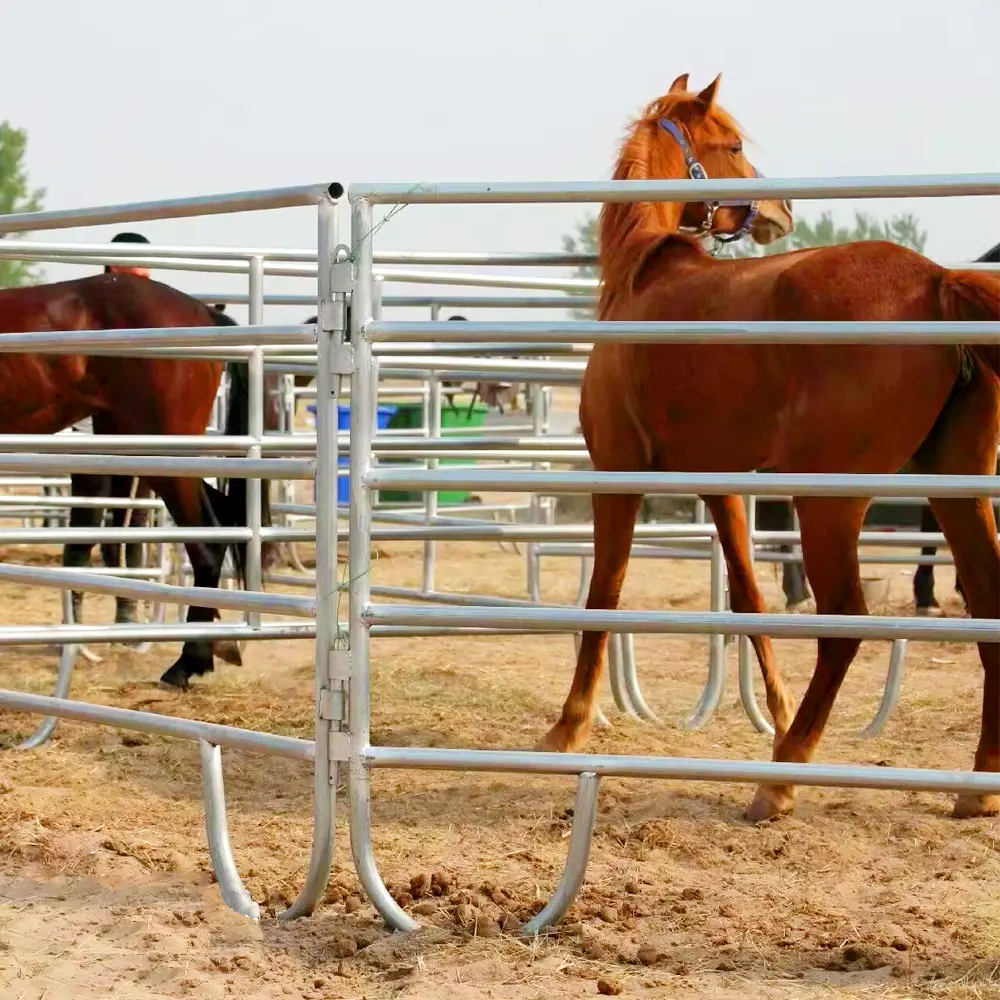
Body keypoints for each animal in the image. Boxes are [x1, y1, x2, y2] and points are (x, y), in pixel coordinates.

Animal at [540, 72, 1000, 820]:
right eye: (731, 145)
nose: (783, 209)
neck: (643, 278)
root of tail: (936, 282)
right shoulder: (721, 484)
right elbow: (750, 600)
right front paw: (776, 712)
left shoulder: (618, 474)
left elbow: (603, 595)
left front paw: (568, 726)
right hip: (954, 485)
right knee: (986, 602)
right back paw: (977, 784)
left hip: (830, 502)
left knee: (847, 621)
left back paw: (781, 778)